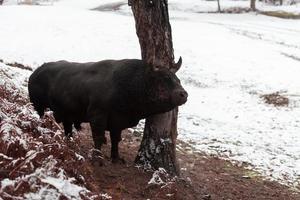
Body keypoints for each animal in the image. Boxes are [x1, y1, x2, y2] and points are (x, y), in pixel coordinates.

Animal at [28, 59, 188, 162]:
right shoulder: (97, 117)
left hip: (66, 114)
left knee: (68, 128)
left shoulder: (117, 122)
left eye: (178, 80)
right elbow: (99, 138)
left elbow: (116, 139)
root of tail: (36, 72)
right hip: (39, 107)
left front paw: (116, 157)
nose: (184, 94)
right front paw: (97, 158)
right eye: (164, 79)